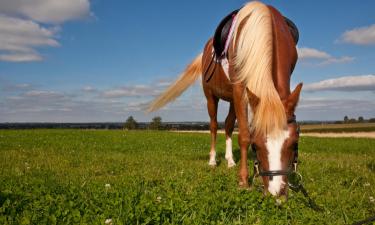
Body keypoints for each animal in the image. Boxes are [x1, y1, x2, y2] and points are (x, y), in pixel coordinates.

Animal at [147, 0, 302, 196]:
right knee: (214, 125)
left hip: (232, 99)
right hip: (212, 97)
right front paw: (243, 180)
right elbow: (243, 134)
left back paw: (230, 161)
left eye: (294, 143)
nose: (277, 192)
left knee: (228, 125)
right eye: (256, 145)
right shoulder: (239, 88)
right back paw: (213, 160)